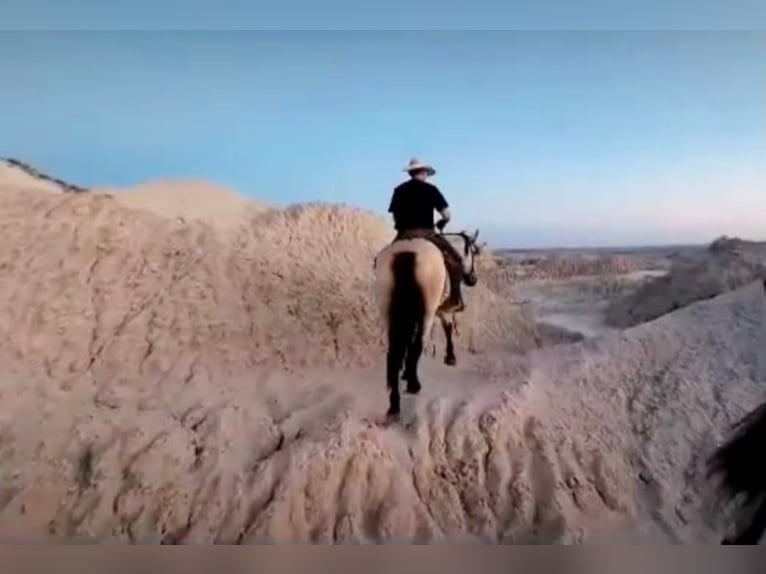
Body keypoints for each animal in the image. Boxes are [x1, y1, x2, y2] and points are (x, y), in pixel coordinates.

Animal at [372, 228, 480, 418]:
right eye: (473, 252)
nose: (473, 279)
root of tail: (406, 253)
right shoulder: (441, 309)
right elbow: (448, 327)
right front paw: (450, 357)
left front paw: (405, 373)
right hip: (427, 311)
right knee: (417, 344)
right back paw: (413, 385)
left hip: (389, 312)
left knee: (394, 352)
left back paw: (395, 401)